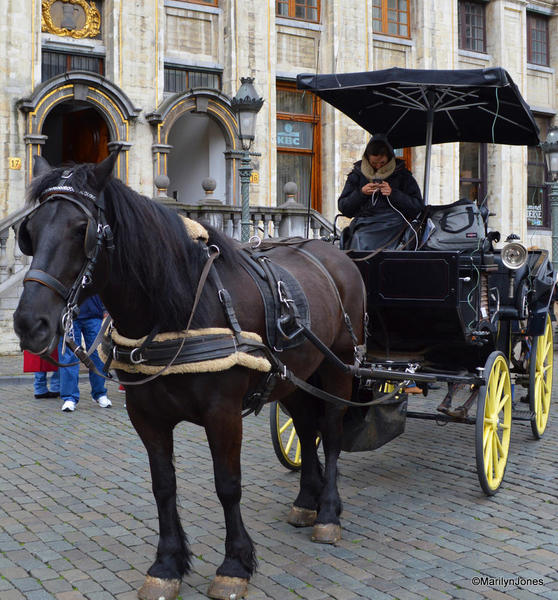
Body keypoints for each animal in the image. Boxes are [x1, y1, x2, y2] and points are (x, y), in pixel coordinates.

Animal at [13, 154, 368, 600]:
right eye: (29, 231)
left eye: (82, 230)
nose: (30, 323)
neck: (177, 309)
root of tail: (332, 251)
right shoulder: (145, 415)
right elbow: (163, 486)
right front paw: (167, 565)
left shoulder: (223, 413)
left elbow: (227, 484)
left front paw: (235, 564)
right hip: (293, 376)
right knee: (305, 428)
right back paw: (307, 501)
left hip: (339, 365)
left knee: (332, 433)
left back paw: (329, 514)